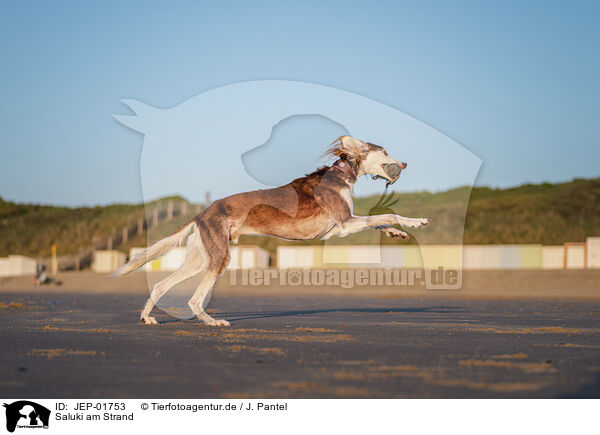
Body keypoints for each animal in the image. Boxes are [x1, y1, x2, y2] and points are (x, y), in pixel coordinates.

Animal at [113, 138, 432, 326]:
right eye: (386, 151)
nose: (404, 164)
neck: (340, 174)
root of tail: (202, 213)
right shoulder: (344, 223)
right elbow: (387, 214)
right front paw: (415, 222)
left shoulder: (338, 228)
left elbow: (381, 220)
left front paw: (396, 233)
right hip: (219, 257)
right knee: (193, 298)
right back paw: (212, 322)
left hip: (200, 257)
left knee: (160, 285)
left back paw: (147, 317)